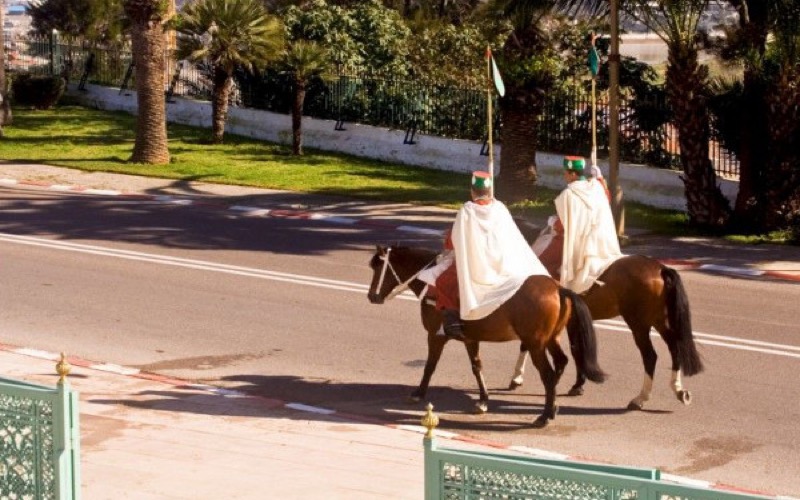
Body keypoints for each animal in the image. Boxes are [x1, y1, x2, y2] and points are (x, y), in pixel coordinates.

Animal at [366, 244, 604, 428]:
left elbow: (430, 365)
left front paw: (418, 393)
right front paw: (483, 400)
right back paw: (552, 406)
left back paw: (544, 415)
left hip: (536, 344)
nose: (371, 296)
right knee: (561, 363)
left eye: (378, 268)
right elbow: (476, 367)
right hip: (551, 339)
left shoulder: (435, 336)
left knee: (548, 374)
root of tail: (558, 288)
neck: (432, 284)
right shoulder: (470, 339)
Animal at [510, 254, 704, 410]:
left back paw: (640, 398)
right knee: (674, 347)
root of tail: (660, 268)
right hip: (658, 321)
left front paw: (517, 377)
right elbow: (576, 349)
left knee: (650, 356)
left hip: (639, 324)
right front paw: (578, 385)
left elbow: (566, 348)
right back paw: (679, 390)